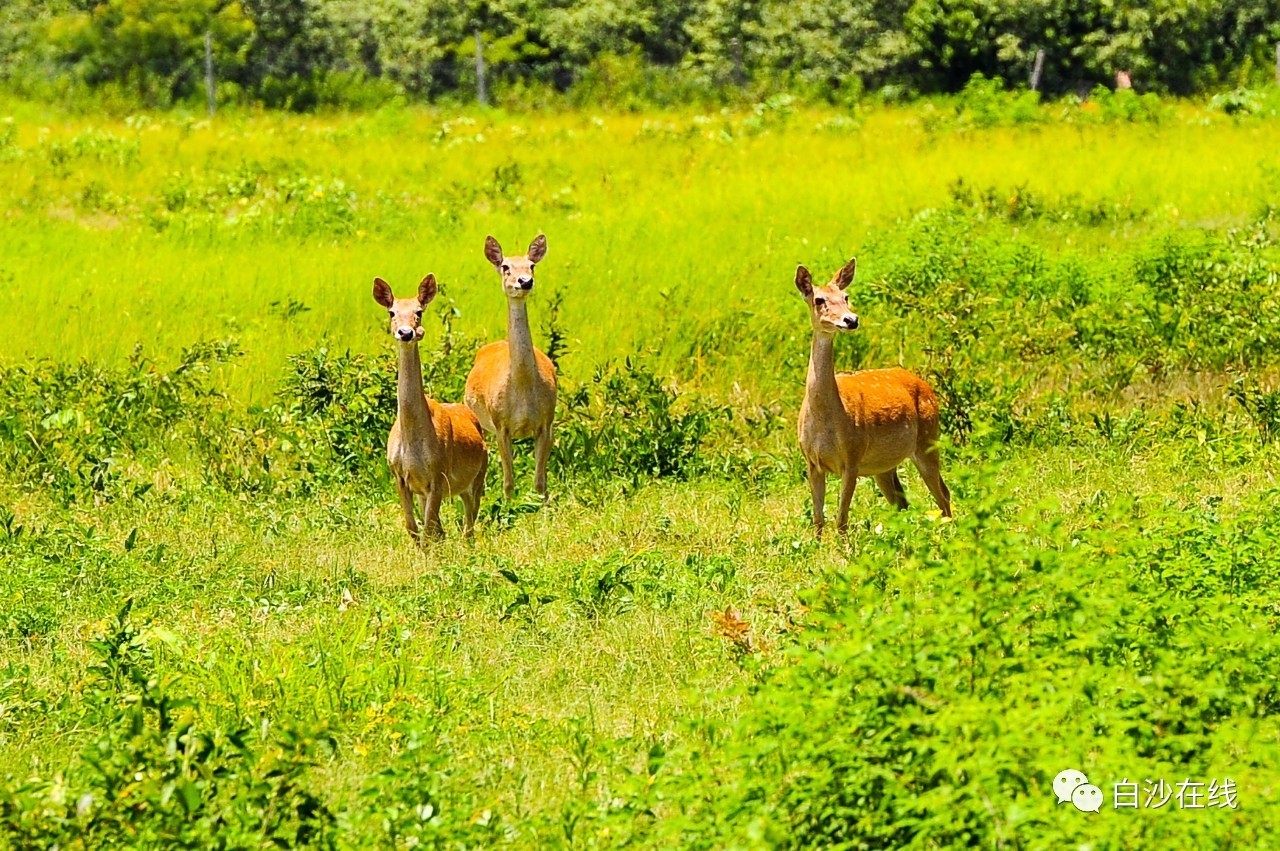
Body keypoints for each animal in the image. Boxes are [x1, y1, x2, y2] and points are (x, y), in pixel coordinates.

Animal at [373, 275, 488, 547]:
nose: (406, 332)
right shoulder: (400, 475)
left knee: (469, 523)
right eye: (392, 312)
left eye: (419, 311)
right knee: (446, 527)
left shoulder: (438, 473)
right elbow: (413, 528)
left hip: (480, 472)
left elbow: (426, 532)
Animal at [465, 232, 555, 499]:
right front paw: (508, 505)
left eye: (532, 265)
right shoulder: (501, 423)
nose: (524, 282)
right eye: (505, 266)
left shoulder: (546, 422)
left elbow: (540, 482)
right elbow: (508, 482)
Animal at [793, 257, 957, 537]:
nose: (851, 319)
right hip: (885, 465)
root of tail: (926, 385)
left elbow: (841, 521)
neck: (826, 419)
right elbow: (818, 521)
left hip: (928, 439)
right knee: (903, 501)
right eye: (819, 299)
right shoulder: (812, 462)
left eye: (846, 296)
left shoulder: (852, 458)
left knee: (943, 495)